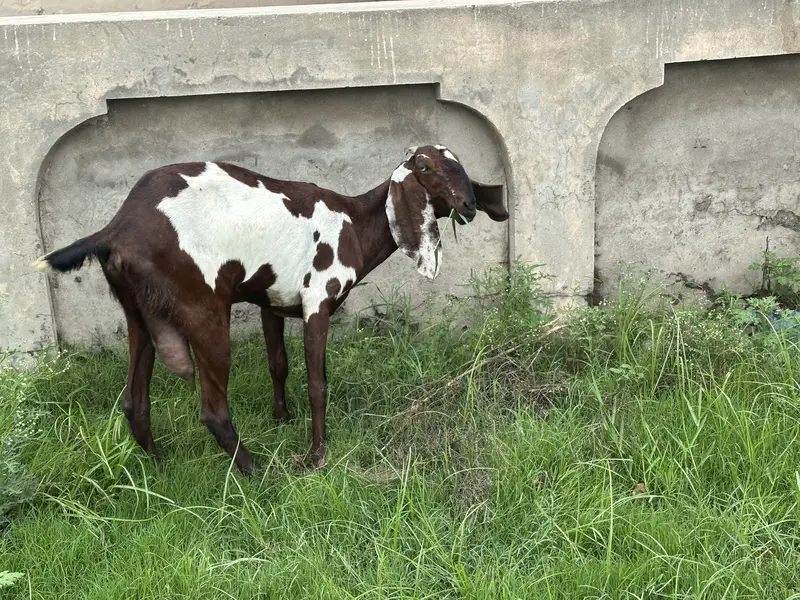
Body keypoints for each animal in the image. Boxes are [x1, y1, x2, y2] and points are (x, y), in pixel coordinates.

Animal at [34, 145, 509, 474]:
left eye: (460, 167)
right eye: (425, 168)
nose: (469, 205)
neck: (353, 223)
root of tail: (118, 227)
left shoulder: (272, 302)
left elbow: (277, 364)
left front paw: (282, 417)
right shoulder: (318, 301)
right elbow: (318, 383)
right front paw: (316, 455)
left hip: (139, 313)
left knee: (135, 402)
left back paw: (159, 464)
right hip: (204, 310)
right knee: (213, 411)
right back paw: (257, 470)